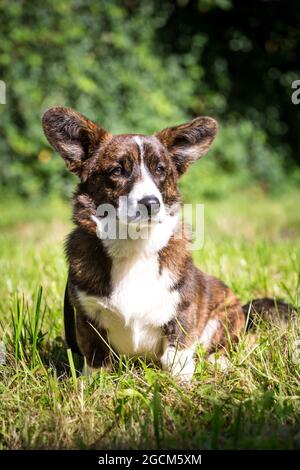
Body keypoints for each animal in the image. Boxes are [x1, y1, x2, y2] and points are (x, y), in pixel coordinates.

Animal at [43, 105, 294, 378]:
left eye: (160, 170)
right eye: (117, 170)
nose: (151, 203)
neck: (135, 246)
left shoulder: (182, 311)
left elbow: (177, 354)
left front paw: (181, 382)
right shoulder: (87, 319)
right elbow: (96, 360)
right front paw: (91, 385)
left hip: (226, 313)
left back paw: (219, 361)